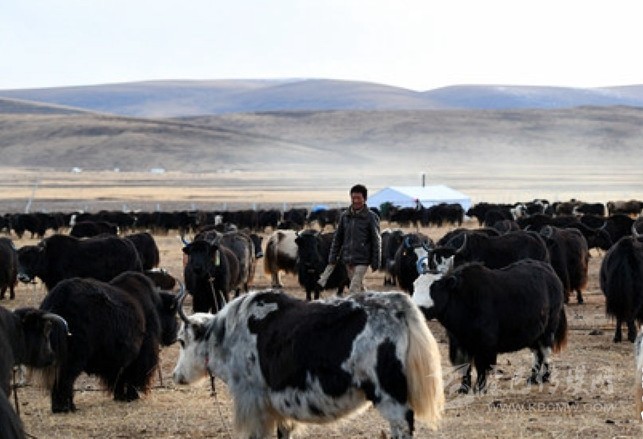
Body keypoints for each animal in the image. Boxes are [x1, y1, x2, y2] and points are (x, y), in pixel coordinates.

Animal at [38, 272, 180, 412]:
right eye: (173, 313)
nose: (175, 336)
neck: (155, 306)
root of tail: (58, 299)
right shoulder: (142, 352)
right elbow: (132, 376)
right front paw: (132, 397)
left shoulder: (120, 359)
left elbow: (120, 377)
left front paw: (120, 397)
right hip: (74, 357)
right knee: (66, 379)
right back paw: (67, 407)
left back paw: (60, 407)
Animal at [172, 288, 444, 438]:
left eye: (182, 341)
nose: (176, 376)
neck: (225, 336)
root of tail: (399, 307)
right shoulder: (279, 408)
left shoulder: (254, 401)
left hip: (389, 396)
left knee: (402, 426)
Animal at [413, 259, 567, 394]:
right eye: (414, 285)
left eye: (435, 287)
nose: (416, 308)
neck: (462, 298)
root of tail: (551, 272)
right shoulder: (460, 342)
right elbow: (465, 366)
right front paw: (463, 389)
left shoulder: (485, 343)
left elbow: (481, 366)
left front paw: (480, 389)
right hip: (535, 334)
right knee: (537, 353)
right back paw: (533, 379)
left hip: (549, 329)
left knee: (546, 351)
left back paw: (545, 377)